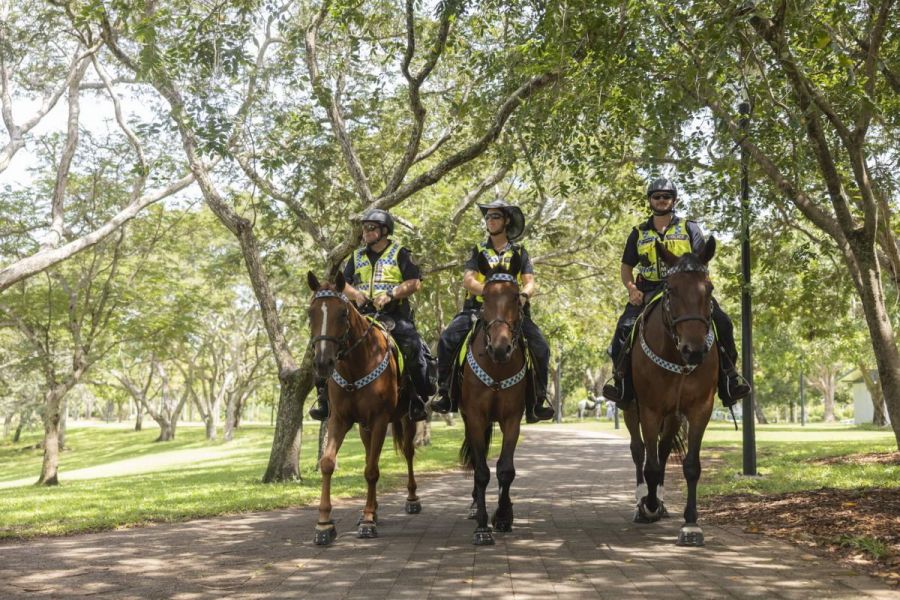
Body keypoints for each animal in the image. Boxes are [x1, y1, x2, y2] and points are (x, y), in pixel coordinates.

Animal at [304, 274, 420, 548]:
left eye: (342, 313)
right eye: (311, 313)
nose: (322, 363)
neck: (356, 364)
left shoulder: (379, 420)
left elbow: (371, 470)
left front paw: (367, 521)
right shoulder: (339, 419)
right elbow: (328, 463)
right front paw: (324, 524)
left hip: (406, 418)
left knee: (408, 452)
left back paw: (411, 499)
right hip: (364, 426)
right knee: (370, 453)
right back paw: (375, 509)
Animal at [624, 237, 716, 548]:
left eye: (709, 289)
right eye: (671, 290)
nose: (694, 350)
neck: (676, 356)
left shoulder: (700, 409)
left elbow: (691, 466)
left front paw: (691, 525)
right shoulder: (650, 409)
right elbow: (650, 465)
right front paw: (649, 505)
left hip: (674, 415)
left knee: (663, 450)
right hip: (631, 408)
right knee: (639, 450)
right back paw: (643, 502)